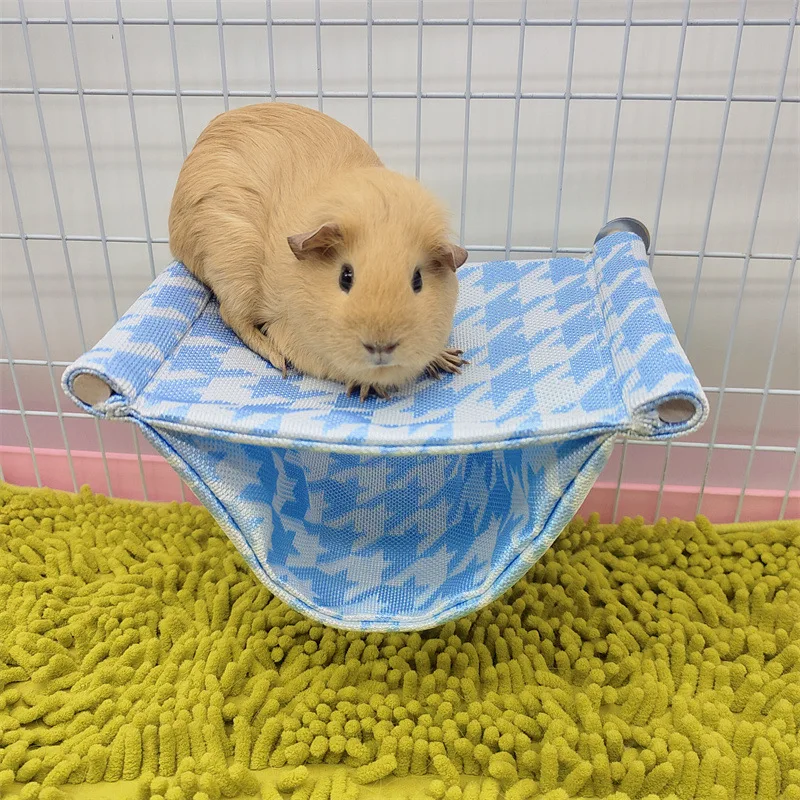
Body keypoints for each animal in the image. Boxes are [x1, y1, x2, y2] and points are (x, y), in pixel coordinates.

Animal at [168, 102, 468, 401]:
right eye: (345, 277)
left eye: (418, 280)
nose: (381, 346)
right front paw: (367, 388)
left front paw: (451, 360)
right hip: (235, 274)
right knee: (231, 317)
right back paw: (278, 361)